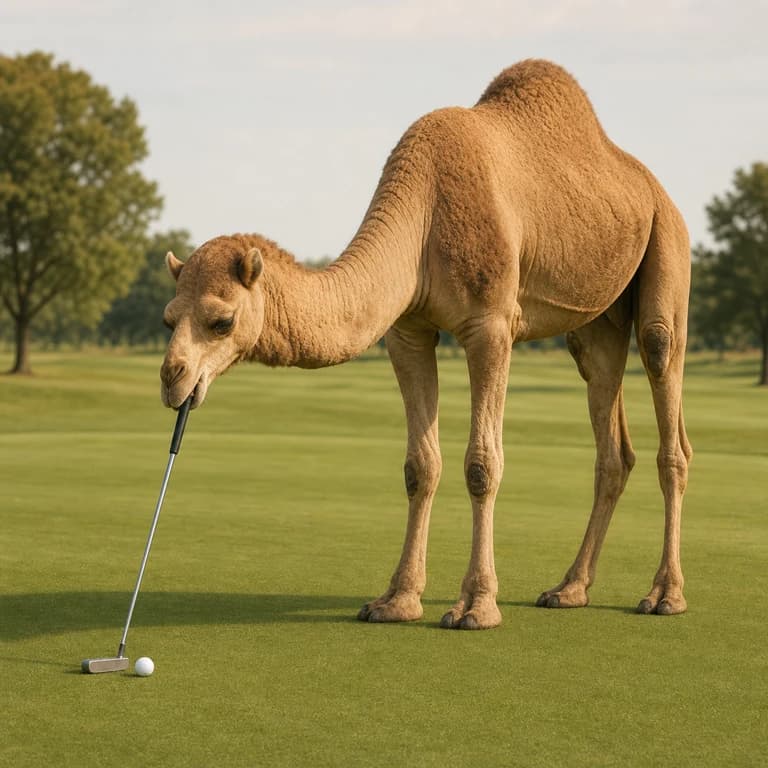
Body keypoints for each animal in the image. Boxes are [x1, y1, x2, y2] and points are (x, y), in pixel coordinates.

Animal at [160, 59, 692, 630]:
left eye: (221, 321)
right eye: (168, 319)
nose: (171, 378)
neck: (423, 211)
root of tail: (654, 187)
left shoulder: (492, 325)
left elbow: (482, 464)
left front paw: (476, 606)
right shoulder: (407, 331)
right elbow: (420, 465)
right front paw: (396, 600)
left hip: (668, 245)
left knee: (663, 375)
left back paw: (664, 594)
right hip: (596, 317)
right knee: (608, 424)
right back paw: (569, 588)